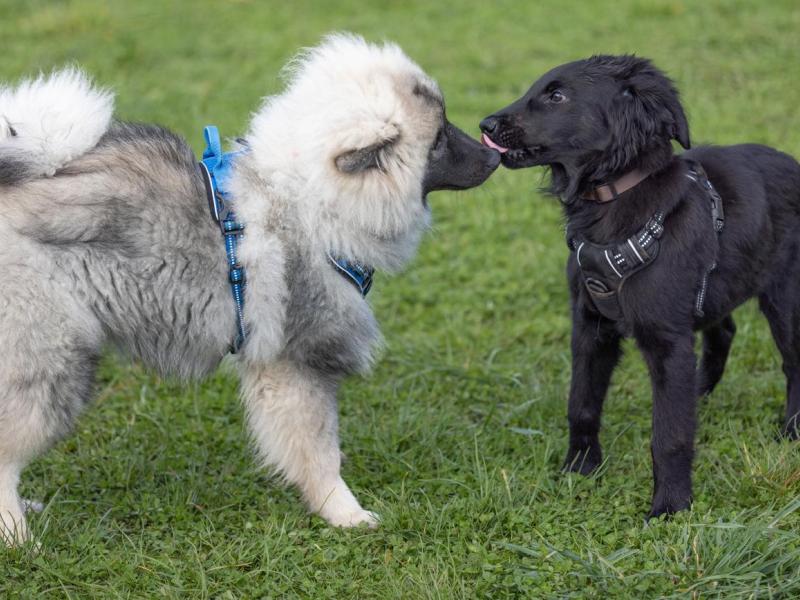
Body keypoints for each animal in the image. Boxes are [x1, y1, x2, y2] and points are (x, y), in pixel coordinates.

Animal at [0, 34, 500, 544]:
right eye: (438, 140)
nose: (494, 153)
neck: (310, 202)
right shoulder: (295, 364)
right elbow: (321, 452)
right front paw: (345, 512)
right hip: (51, 360)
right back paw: (19, 538)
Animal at [478, 54, 800, 516]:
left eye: (557, 96)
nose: (484, 125)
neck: (612, 202)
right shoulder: (590, 327)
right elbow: (581, 404)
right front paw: (579, 469)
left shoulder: (667, 338)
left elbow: (669, 435)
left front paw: (670, 506)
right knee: (723, 330)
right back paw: (699, 392)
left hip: (784, 299)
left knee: (793, 363)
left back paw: (790, 429)